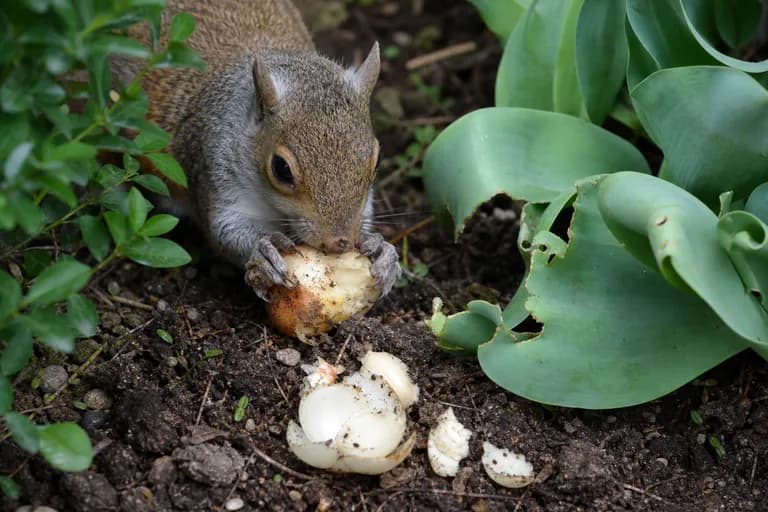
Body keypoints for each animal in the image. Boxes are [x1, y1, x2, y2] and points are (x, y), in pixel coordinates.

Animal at [116, 0, 401, 299]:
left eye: (377, 161)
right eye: (281, 169)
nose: (340, 242)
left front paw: (382, 252)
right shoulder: (215, 168)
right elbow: (226, 232)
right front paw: (263, 249)